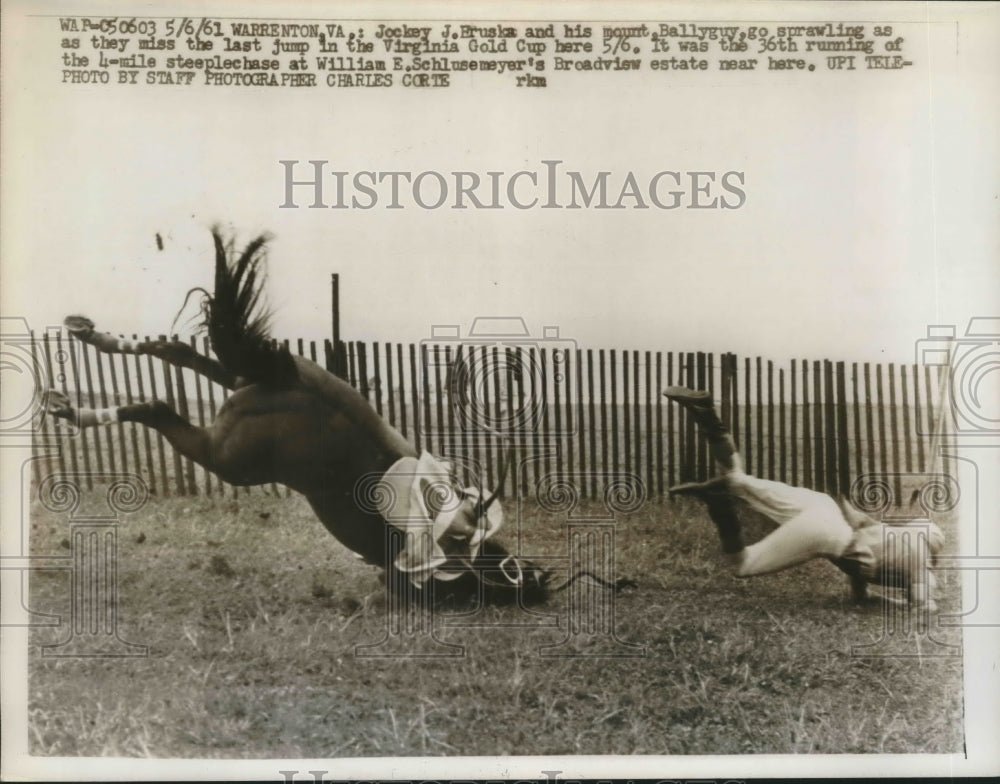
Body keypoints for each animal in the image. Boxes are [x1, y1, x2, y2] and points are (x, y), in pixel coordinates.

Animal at [45, 230, 548, 604]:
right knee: (157, 406)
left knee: (177, 353)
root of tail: (289, 377)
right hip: (231, 459)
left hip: (242, 384)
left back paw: (89, 344)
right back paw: (75, 404)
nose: (536, 580)